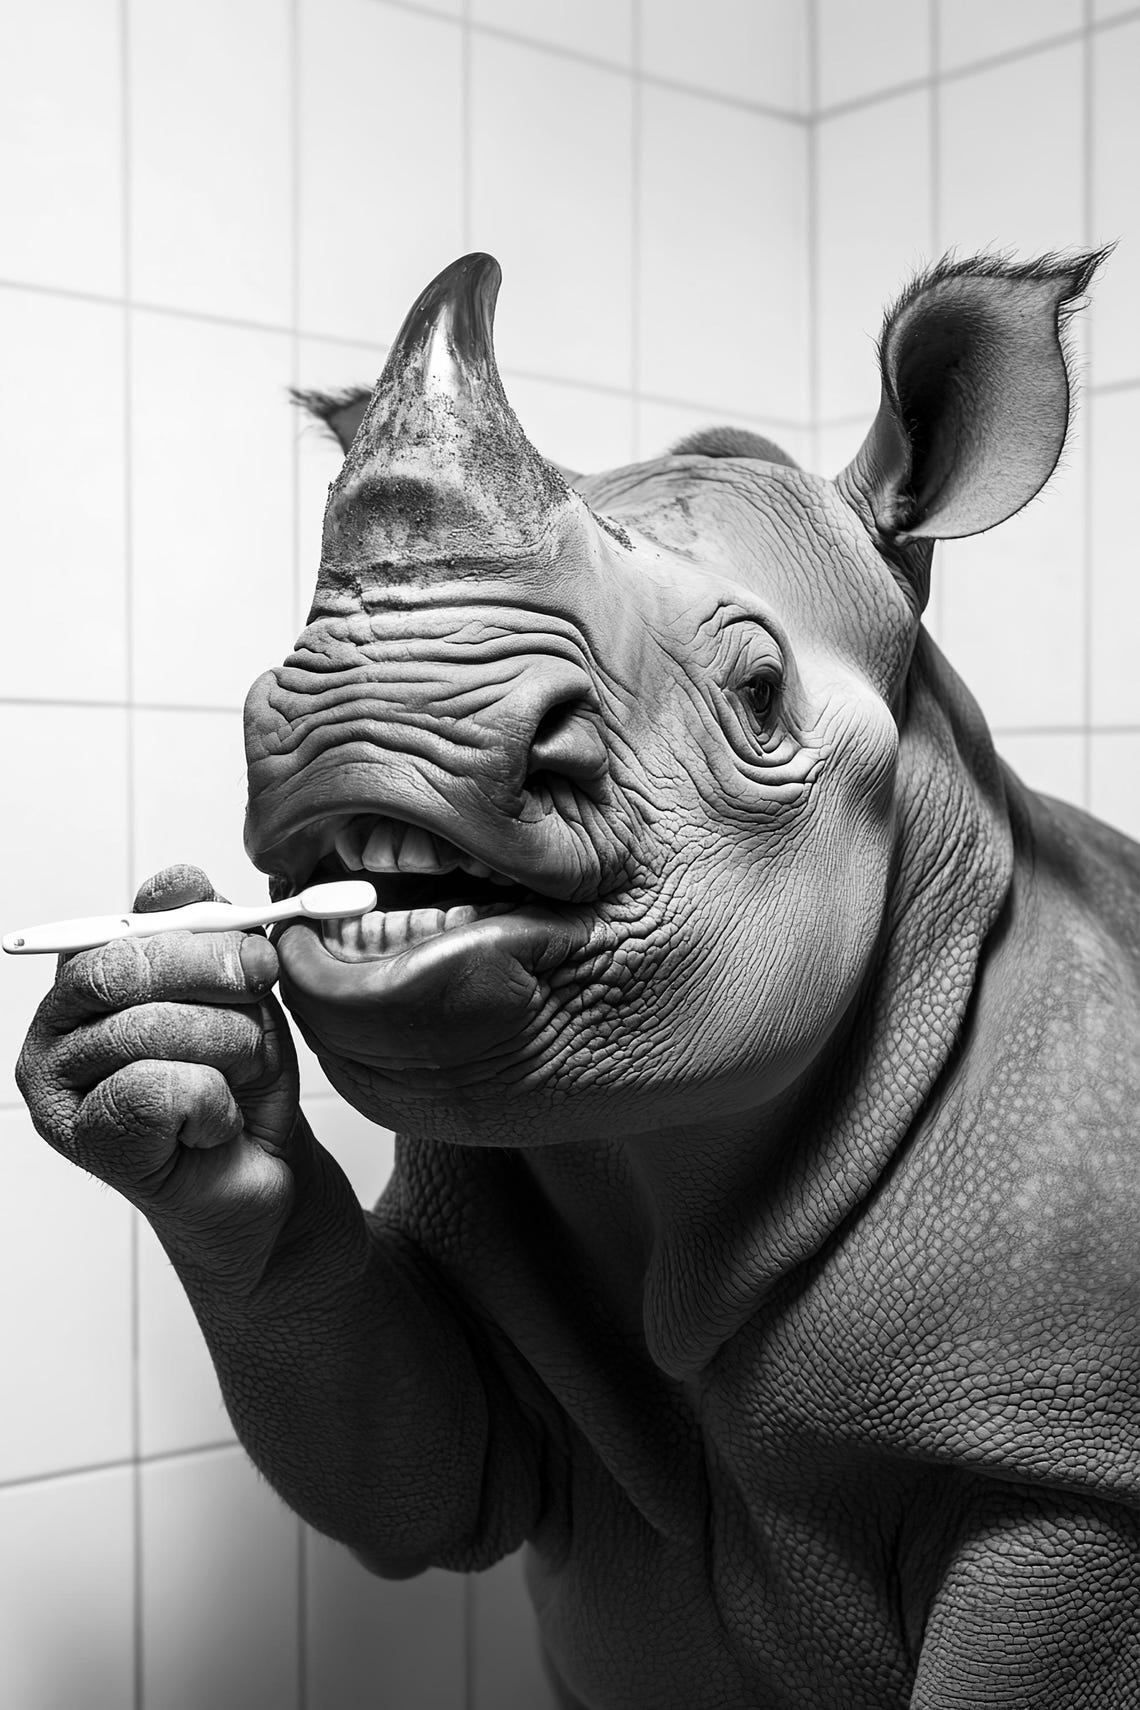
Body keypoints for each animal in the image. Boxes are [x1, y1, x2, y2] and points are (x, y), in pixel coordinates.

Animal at [17, 249, 1139, 1709]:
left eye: (761, 692)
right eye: (271, 687)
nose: (341, 729)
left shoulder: (1065, 1467)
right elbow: (417, 1469)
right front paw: (158, 1038)